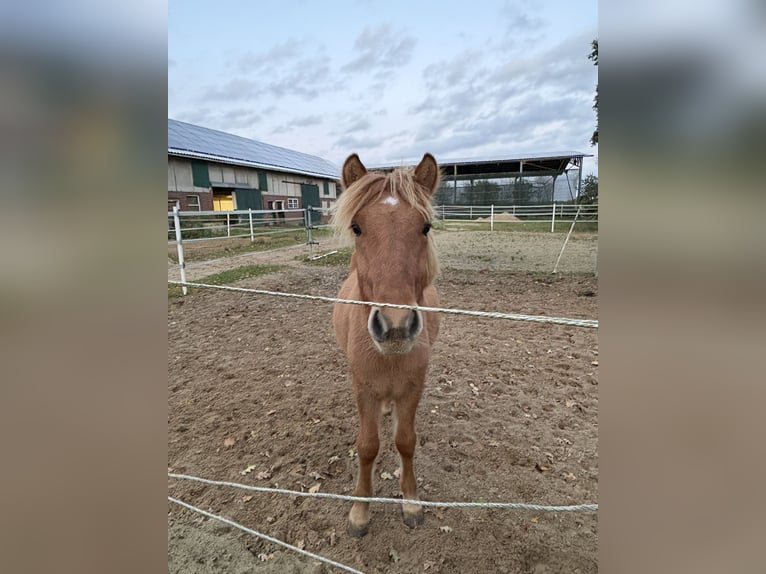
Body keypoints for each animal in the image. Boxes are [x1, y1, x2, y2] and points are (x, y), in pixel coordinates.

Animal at [331, 153, 441, 537]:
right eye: (357, 227)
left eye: (425, 227)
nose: (395, 326)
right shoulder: (363, 388)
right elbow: (367, 446)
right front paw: (359, 513)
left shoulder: (412, 387)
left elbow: (406, 441)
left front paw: (411, 503)